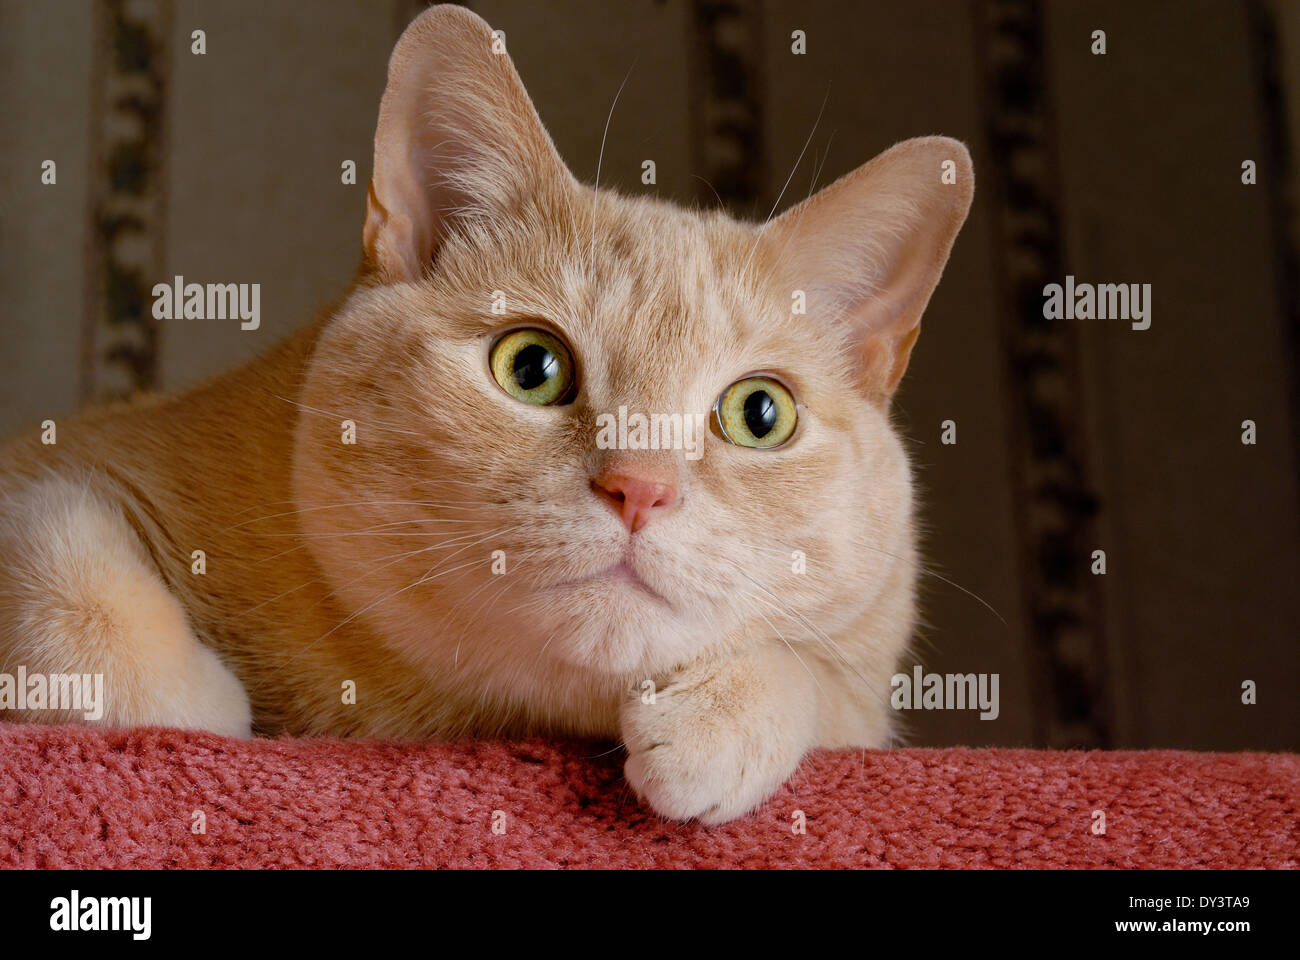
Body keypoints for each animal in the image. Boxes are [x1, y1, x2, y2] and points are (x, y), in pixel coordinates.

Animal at [0, 3, 972, 816]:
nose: (641, 489)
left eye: (760, 415)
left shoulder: (865, 700)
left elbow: (822, 682)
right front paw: (205, 706)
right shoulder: (60, 467)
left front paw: (727, 714)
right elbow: (70, 572)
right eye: (531, 367)